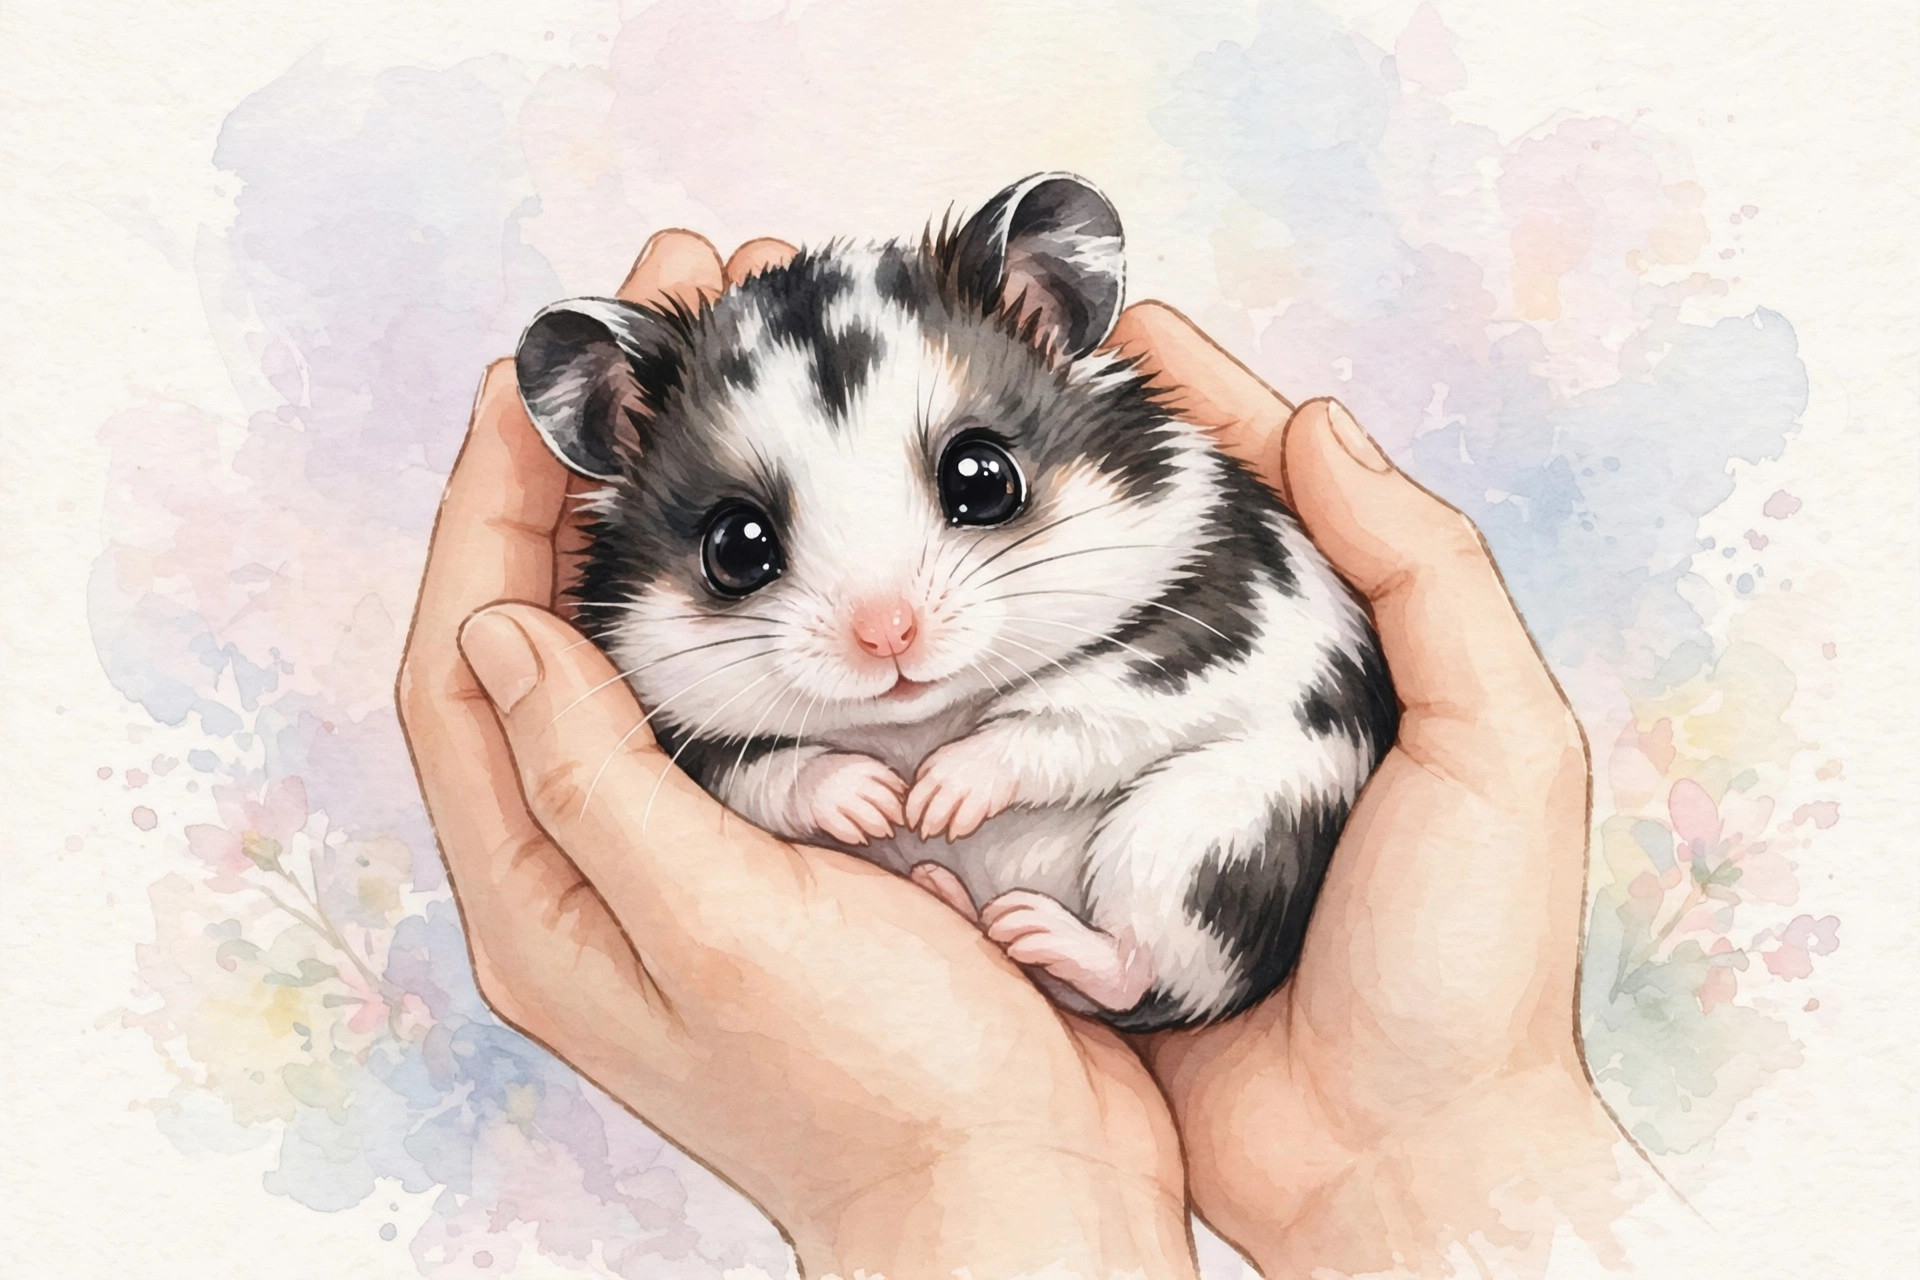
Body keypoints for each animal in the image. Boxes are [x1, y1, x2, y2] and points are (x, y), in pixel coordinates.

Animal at [512, 174, 1397, 1031]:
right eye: (736, 547)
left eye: (981, 478)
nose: (887, 635)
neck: (919, 722)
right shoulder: (691, 734)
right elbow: (775, 769)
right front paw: (879, 806)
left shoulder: (1202, 627)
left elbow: (1063, 714)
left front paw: (937, 799)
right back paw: (962, 899)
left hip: (1207, 832)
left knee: (1151, 970)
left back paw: (1027, 924)